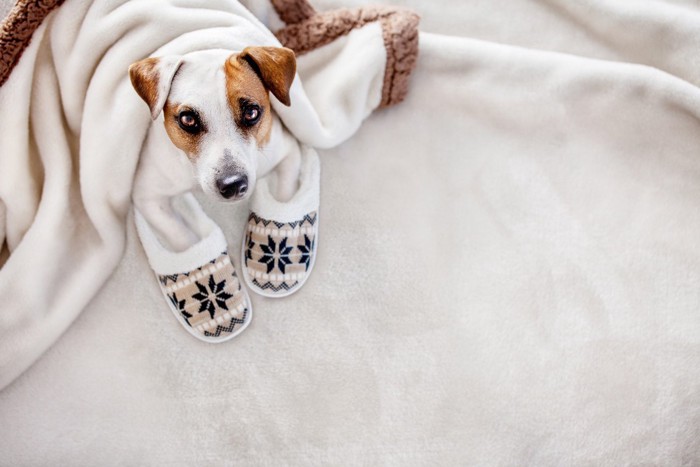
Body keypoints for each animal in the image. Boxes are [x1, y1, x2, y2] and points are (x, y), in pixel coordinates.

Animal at [128, 46, 300, 252]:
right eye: (188, 119)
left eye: (251, 113)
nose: (233, 184)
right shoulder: (147, 195)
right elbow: (181, 237)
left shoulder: (286, 151)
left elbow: (284, 196)